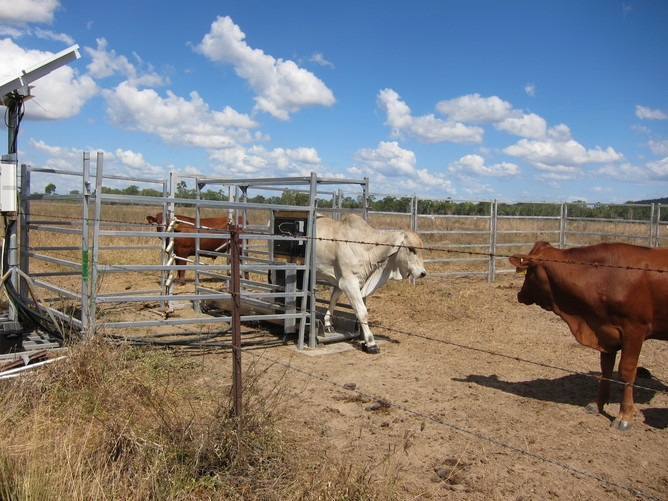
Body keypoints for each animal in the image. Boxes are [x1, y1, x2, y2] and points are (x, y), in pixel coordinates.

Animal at [314, 214, 428, 352]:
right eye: (411, 249)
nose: (423, 273)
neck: (366, 248)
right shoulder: (349, 283)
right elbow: (362, 312)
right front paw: (370, 342)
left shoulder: (340, 281)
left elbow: (333, 300)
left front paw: (327, 324)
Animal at [508, 241, 664, 430]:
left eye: (529, 272)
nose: (520, 294)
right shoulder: (605, 332)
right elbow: (606, 368)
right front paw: (596, 404)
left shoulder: (634, 330)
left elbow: (627, 372)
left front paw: (625, 416)